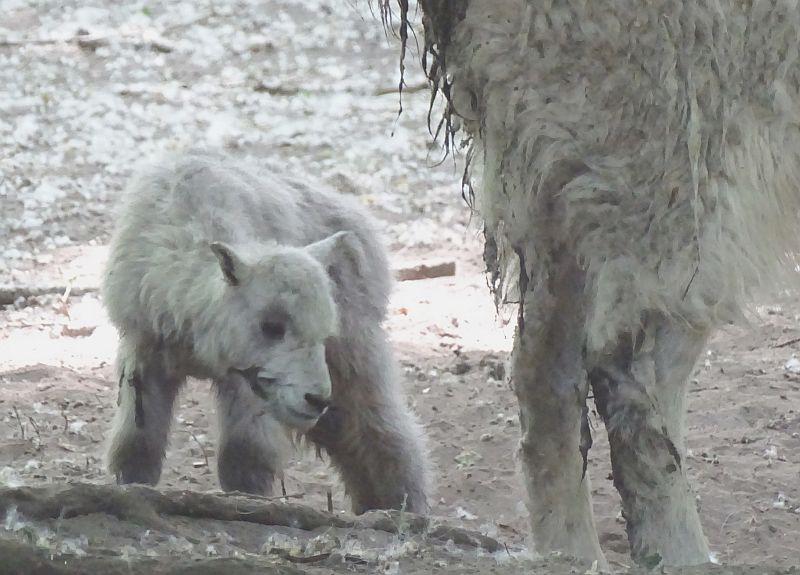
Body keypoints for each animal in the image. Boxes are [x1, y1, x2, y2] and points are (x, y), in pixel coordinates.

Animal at [382, 0, 800, 568]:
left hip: (564, 133)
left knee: (551, 367)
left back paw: (570, 555)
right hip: (662, 106)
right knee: (630, 368)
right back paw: (673, 555)